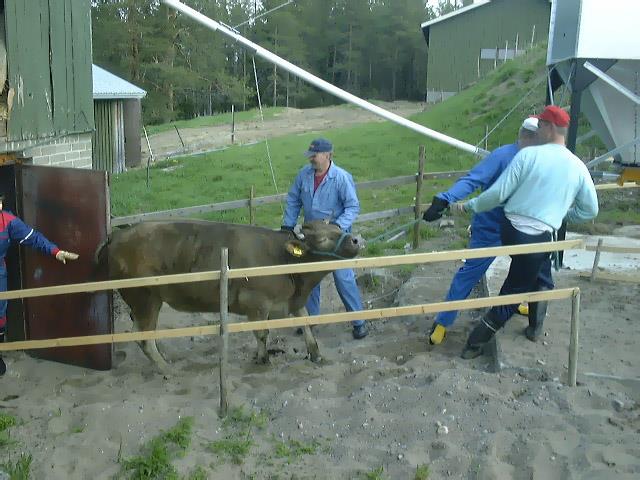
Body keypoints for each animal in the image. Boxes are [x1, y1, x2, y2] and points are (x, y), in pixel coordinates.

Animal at [97, 219, 362, 370]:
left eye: (337, 227)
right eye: (323, 238)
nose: (357, 239)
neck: (282, 259)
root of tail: (118, 234)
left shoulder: (293, 301)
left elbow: (306, 325)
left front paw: (316, 354)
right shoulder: (257, 303)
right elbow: (261, 333)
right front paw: (263, 359)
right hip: (145, 298)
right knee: (143, 336)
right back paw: (164, 367)